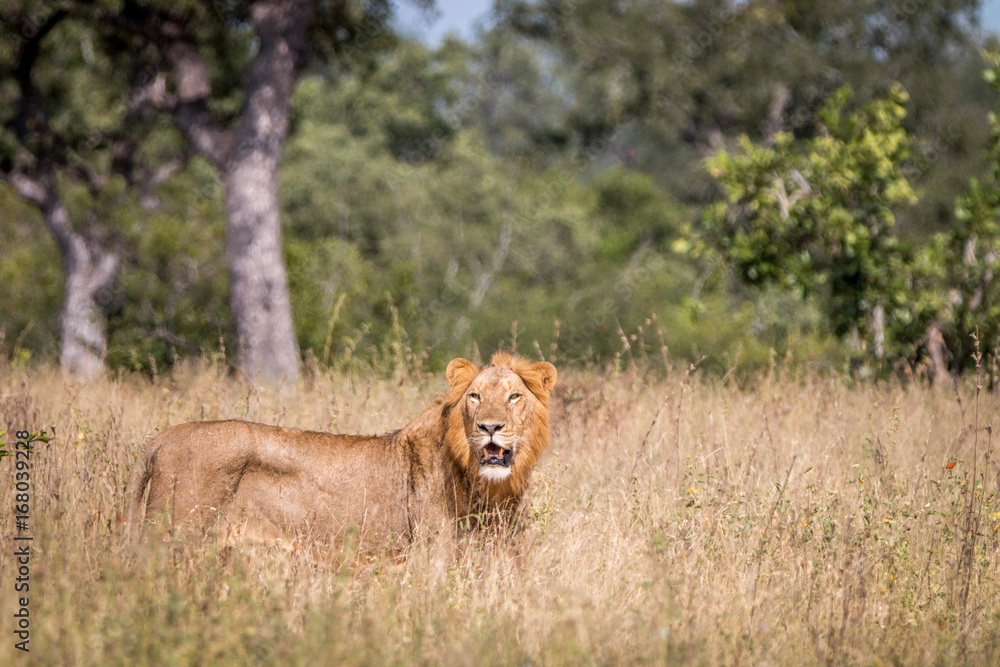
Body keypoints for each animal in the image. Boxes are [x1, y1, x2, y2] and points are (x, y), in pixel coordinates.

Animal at [125, 352, 557, 551]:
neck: (488, 487)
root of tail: (161, 439)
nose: (490, 427)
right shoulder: (429, 555)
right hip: (172, 535)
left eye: (515, 397)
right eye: (475, 397)